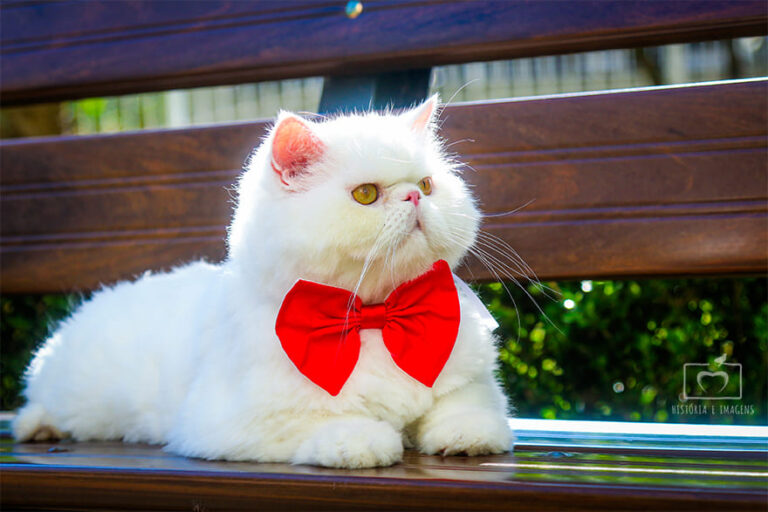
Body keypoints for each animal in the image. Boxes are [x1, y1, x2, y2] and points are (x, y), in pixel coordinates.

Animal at [13, 96, 513, 468]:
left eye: (427, 186)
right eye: (366, 194)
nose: (414, 198)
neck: (373, 317)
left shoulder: (470, 382)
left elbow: (469, 408)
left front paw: (464, 436)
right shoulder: (230, 422)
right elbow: (321, 421)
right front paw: (361, 442)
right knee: (35, 402)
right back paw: (37, 428)